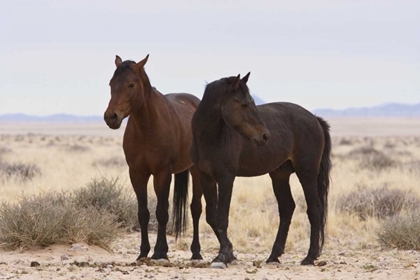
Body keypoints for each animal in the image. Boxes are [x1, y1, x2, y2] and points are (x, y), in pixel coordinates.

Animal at [104, 54, 203, 260]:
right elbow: (143, 213)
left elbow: (162, 211)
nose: (111, 117)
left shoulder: (162, 173)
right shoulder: (136, 173)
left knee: (196, 208)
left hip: (196, 170)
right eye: (111, 83)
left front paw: (160, 252)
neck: (147, 128)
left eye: (131, 84)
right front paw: (143, 252)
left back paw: (196, 252)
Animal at [190, 73, 332, 268]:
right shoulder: (206, 178)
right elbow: (212, 216)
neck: (210, 139)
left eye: (252, 102)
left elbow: (222, 218)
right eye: (243, 104)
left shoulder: (226, 178)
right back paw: (274, 256)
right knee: (287, 208)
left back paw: (310, 257)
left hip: (307, 173)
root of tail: (315, 119)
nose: (265, 136)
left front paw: (223, 256)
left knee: (314, 210)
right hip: (280, 175)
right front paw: (230, 253)